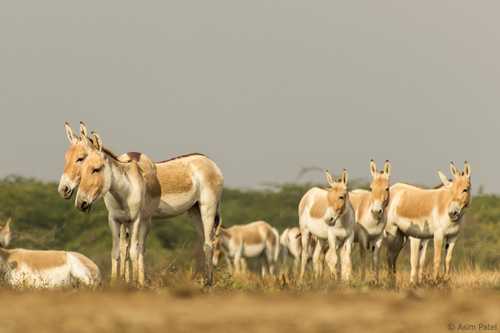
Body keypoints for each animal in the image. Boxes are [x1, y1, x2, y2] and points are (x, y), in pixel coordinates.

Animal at [58, 122, 223, 286]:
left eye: (81, 159)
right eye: (67, 158)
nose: (63, 190)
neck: (122, 189)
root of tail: (210, 162)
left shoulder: (136, 219)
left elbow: (132, 251)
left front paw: (133, 283)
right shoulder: (116, 220)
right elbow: (119, 251)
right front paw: (118, 282)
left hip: (208, 207)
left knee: (209, 244)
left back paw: (208, 283)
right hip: (194, 211)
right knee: (204, 241)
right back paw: (205, 279)